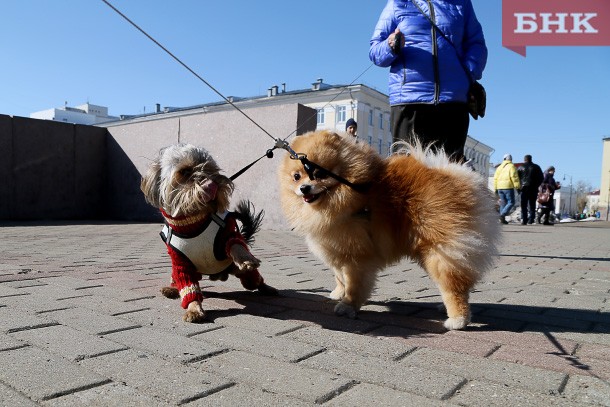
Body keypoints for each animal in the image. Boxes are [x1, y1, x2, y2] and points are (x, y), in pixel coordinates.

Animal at [141, 145, 276, 324]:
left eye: (210, 168)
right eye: (184, 171)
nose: (212, 182)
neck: (192, 222)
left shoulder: (227, 234)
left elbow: (235, 244)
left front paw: (246, 259)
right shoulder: (180, 263)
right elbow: (188, 287)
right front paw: (194, 309)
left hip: (246, 277)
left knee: (255, 281)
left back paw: (268, 288)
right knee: (179, 282)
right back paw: (171, 289)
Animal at [278, 131, 496, 332]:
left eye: (320, 174)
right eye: (296, 176)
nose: (304, 188)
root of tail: (458, 177)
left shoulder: (357, 256)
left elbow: (354, 283)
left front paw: (348, 305)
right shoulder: (337, 249)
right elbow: (339, 276)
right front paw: (339, 293)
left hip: (441, 251)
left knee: (453, 286)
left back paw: (458, 319)